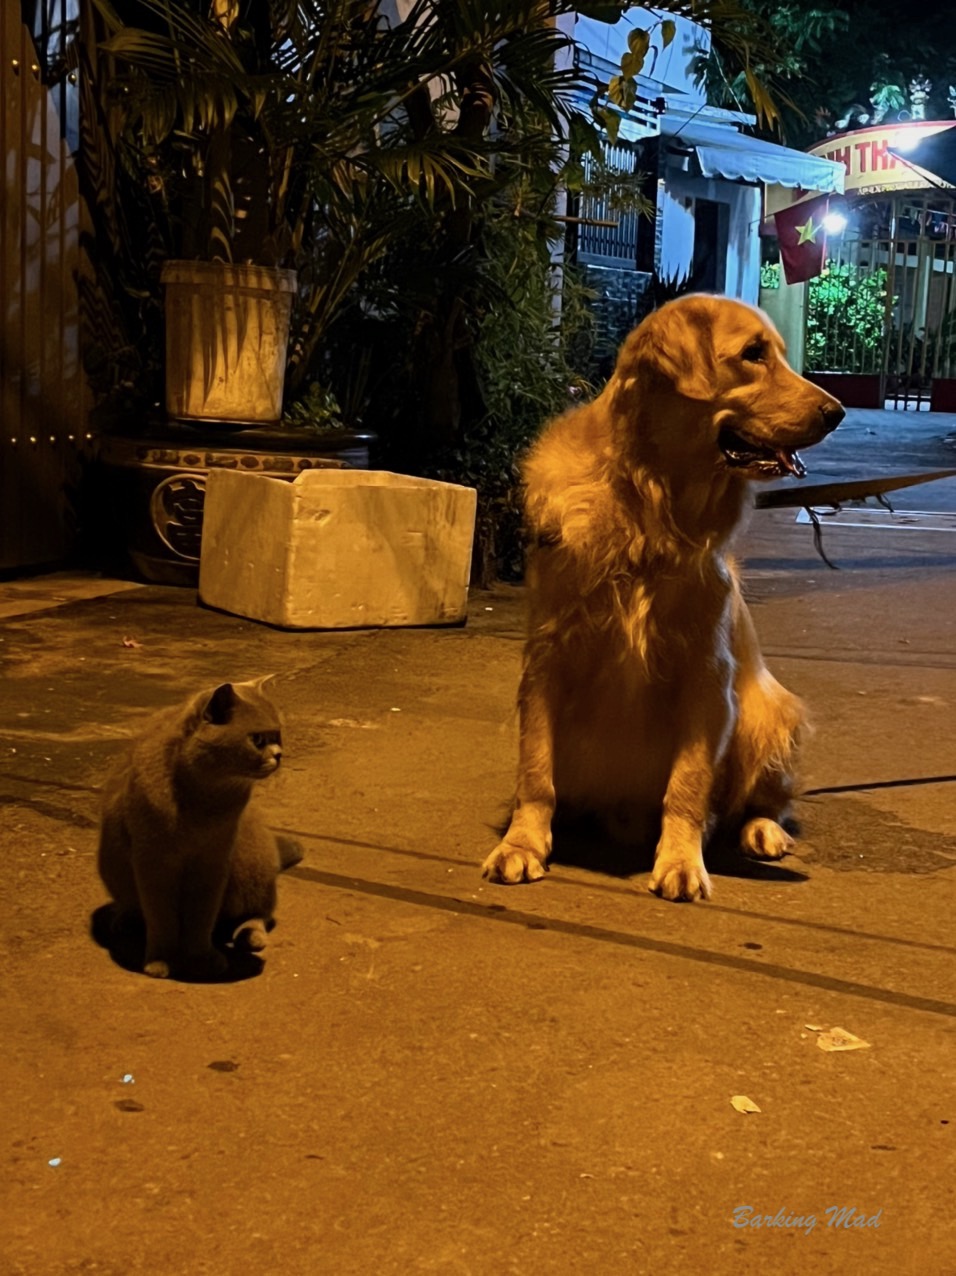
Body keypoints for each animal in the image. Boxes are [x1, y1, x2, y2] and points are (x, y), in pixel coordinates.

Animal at [97, 677, 301, 980]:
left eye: (277, 736)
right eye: (258, 739)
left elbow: (201, 918)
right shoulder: (152, 862)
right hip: (111, 865)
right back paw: (126, 920)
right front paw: (160, 961)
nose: (279, 755)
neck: (202, 800)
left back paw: (250, 936)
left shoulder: (214, 860)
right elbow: (160, 918)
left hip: (252, 860)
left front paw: (202, 958)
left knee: (260, 913)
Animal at [482, 294, 844, 901]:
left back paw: (762, 831)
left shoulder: (707, 676)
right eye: (754, 354)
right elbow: (535, 772)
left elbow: (689, 784)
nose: (836, 411)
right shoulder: (548, 657)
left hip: (767, 714)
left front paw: (680, 860)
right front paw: (522, 844)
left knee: (767, 801)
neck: (648, 510)